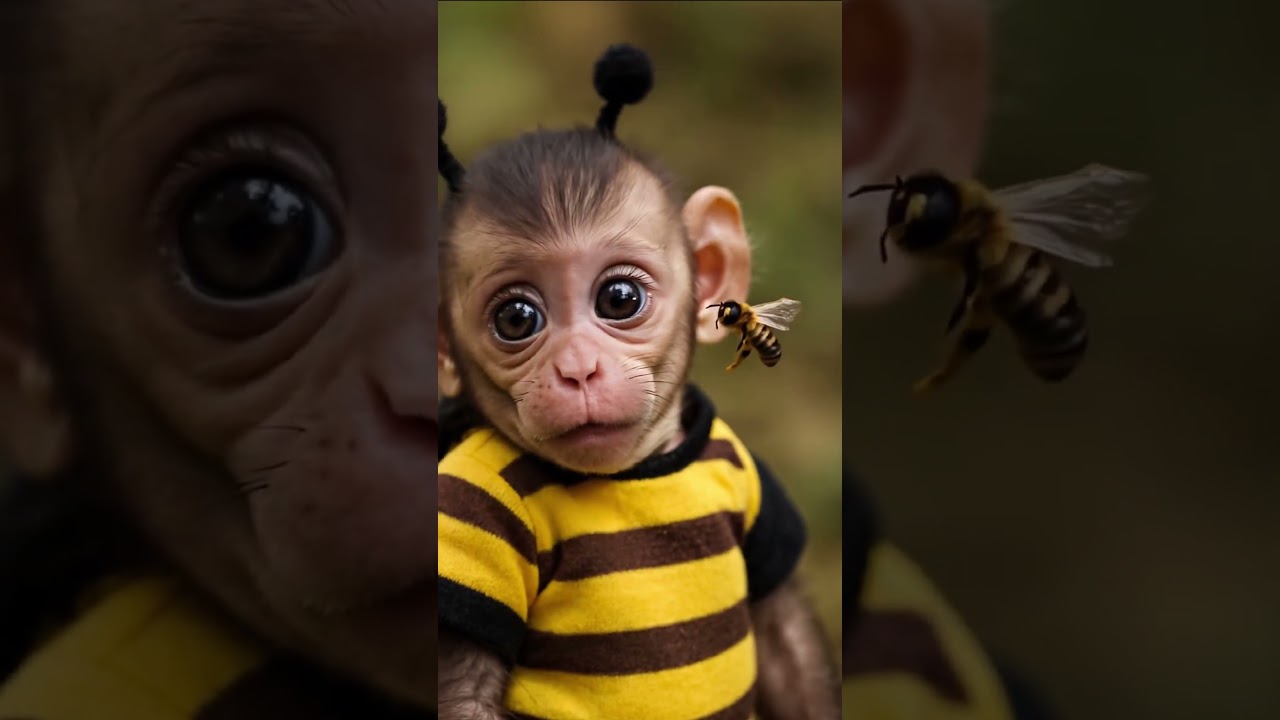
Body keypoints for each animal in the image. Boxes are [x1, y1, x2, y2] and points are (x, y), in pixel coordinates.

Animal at [436, 44, 840, 720]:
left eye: (619, 299)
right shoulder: (468, 512)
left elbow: (785, 639)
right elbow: (462, 691)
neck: (641, 472)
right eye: (516, 318)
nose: (578, 368)